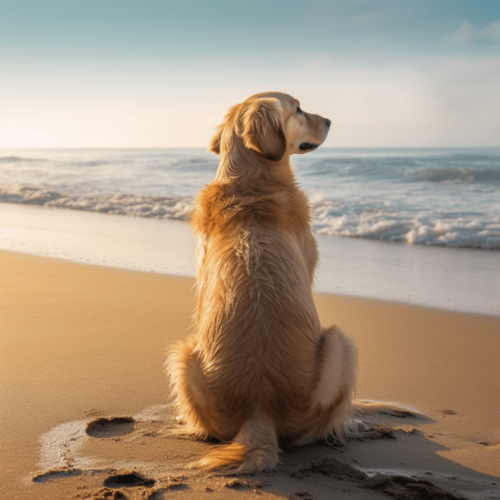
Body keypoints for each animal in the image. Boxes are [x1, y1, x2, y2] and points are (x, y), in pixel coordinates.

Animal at [167, 93, 360, 472]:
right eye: (297, 109)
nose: (329, 121)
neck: (249, 179)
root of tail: (259, 411)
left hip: (186, 355)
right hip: (339, 340)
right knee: (321, 427)